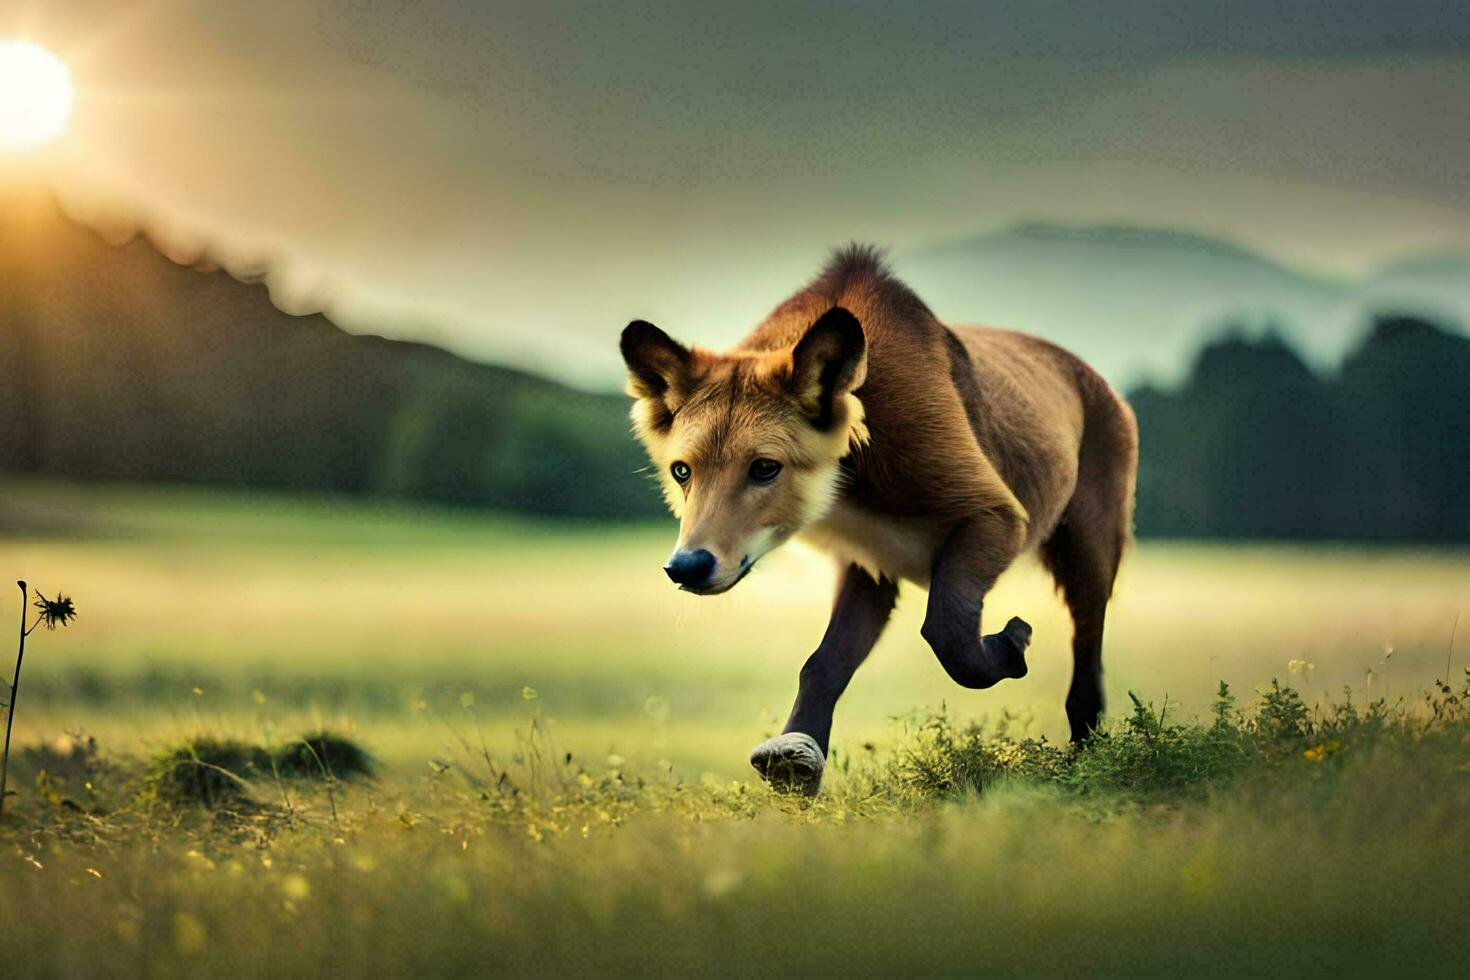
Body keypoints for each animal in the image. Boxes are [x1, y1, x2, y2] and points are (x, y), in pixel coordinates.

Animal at [617, 246, 1134, 799]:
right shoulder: (869, 567)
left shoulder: (995, 514)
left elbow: (947, 632)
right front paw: (797, 756)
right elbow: (823, 663)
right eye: (682, 471)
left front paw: (1010, 646)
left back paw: (1085, 758)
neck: (853, 472)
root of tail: (1098, 380)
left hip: (1089, 554)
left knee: (1088, 659)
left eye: (765, 468)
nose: (686, 568)